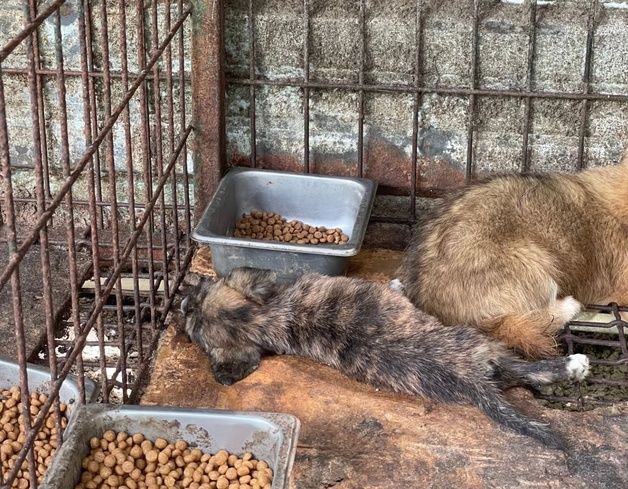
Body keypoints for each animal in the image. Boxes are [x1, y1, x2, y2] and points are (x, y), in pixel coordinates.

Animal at [180, 266, 588, 450]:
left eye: (193, 312)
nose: (182, 301)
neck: (265, 318)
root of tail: (472, 381)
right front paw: (395, 284)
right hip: (482, 344)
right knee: (531, 368)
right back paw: (574, 361)